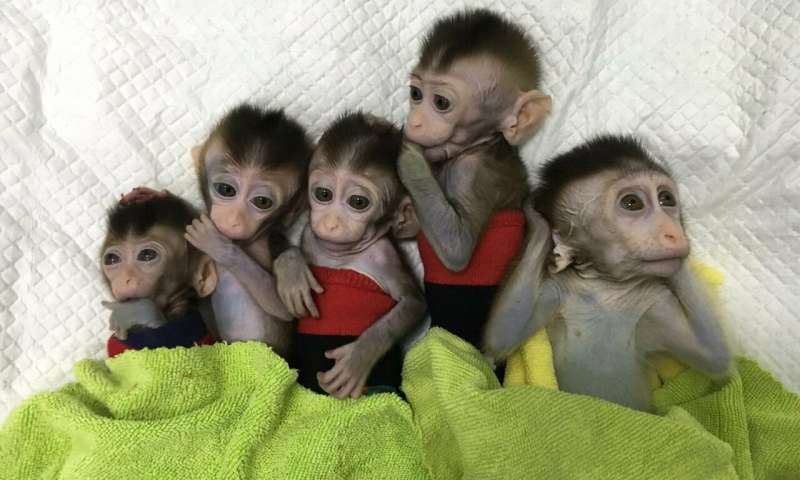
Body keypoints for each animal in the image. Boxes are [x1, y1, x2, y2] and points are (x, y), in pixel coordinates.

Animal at [274, 112, 425, 399]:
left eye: (358, 202)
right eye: (323, 194)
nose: (331, 222)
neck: (342, 256)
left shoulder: (385, 257)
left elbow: (413, 302)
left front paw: (359, 357)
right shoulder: (310, 235)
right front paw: (293, 272)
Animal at [398, 9, 552, 349]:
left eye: (441, 103)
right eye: (415, 94)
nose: (414, 122)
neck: (481, 144)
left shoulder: (470, 173)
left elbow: (457, 248)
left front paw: (408, 156)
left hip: (498, 332)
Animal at [483, 135, 732, 411]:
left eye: (666, 199)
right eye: (632, 203)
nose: (673, 232)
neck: (607, 288)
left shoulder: (656, 301)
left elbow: (713, 355)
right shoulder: (556, 289)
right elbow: (502, 336)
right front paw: (535, 217)